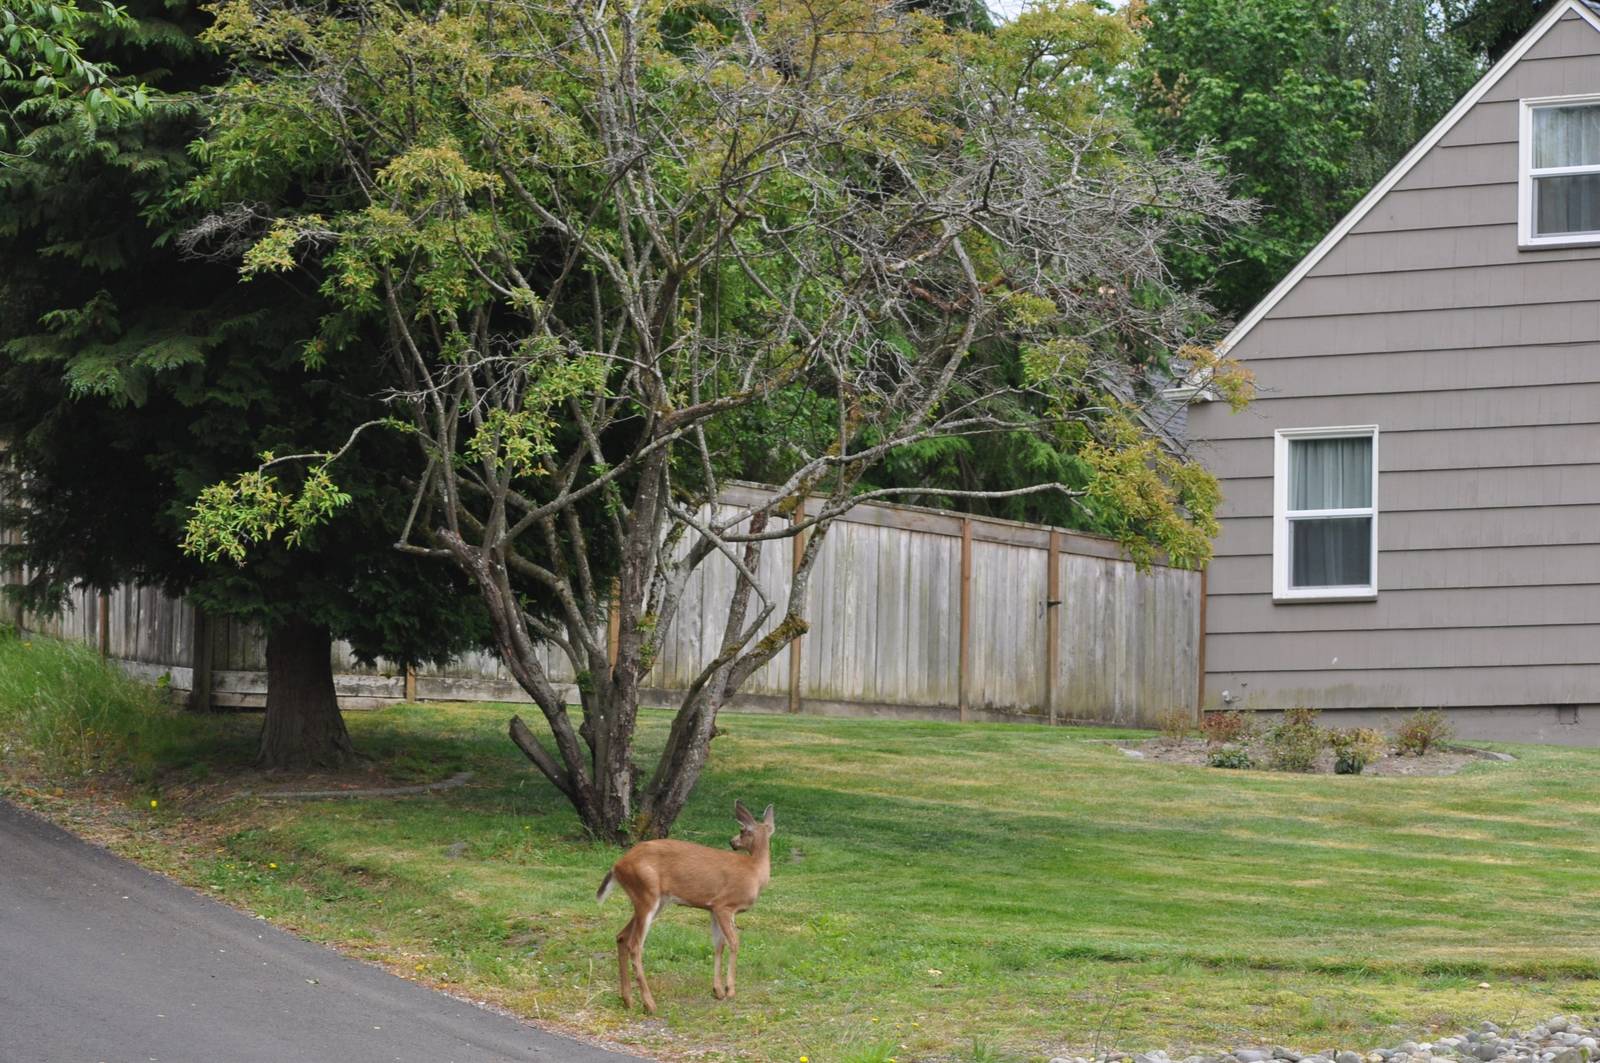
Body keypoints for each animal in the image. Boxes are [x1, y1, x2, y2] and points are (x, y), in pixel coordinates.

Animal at [596, 800, 775, 1013]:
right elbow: (734, 942)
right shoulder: (724, 905)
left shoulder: (713, 909)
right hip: (647, 894)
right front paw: (730, 990)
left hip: (650, 900)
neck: (755, 871)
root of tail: (617, 866)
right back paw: (649, 1004)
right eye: (741, 829)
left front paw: (718, 991)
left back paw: (628, 1000)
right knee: (635, 945)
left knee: (621, 936)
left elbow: (718, 945)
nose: (732, 842)